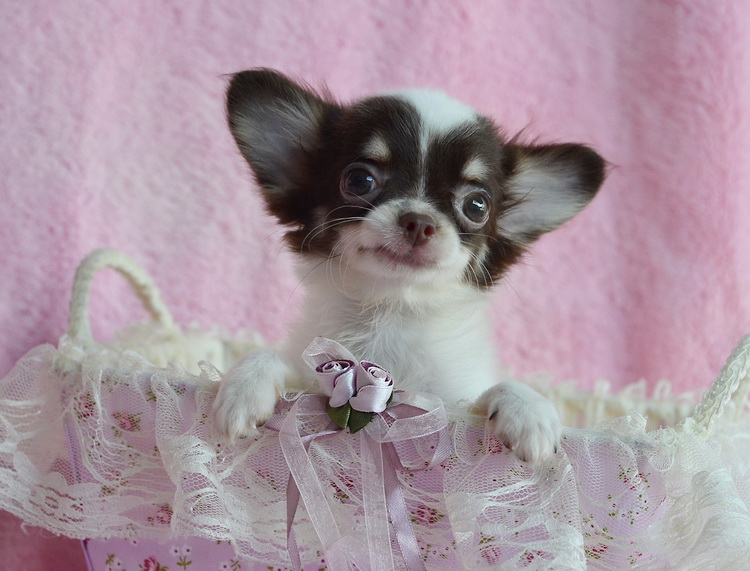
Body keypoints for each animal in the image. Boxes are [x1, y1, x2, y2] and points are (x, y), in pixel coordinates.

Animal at [212, 69, 605, 464]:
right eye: (359, 180)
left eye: (477, 206)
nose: (419, 221)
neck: (391, 313)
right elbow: (268, 356)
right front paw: (243, 388)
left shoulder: (455, 393)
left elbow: (498, 387)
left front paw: (530, 411)